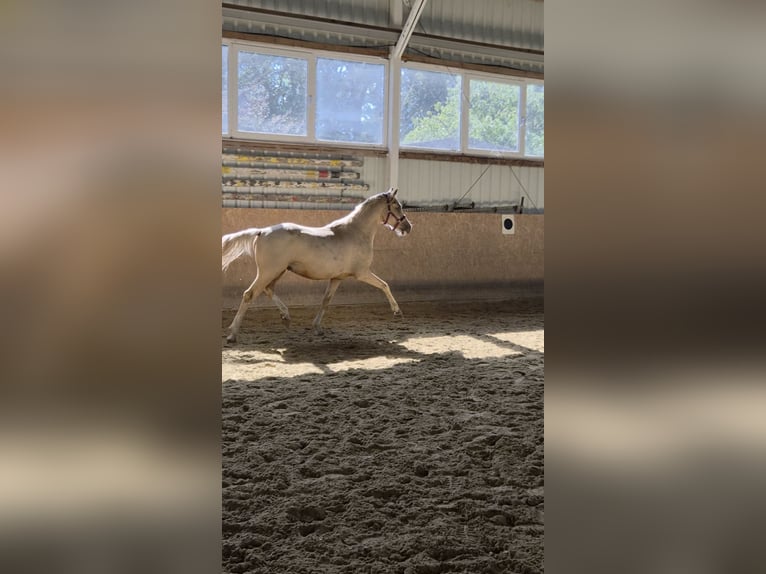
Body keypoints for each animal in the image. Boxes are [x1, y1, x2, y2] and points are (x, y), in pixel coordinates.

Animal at [222, 188, 412, 343]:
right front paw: (397, 312)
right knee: (249, 294)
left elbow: (326, 301)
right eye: (397, 206)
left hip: (278, 271)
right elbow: (384, 285)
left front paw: (317, 328)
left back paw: (286, 317)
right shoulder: (362, 273)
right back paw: (232, 334)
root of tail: (261, 232)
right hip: (268, 272)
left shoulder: (337, 278)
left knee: (268, 289)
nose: (408, 227)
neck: (355, 232)